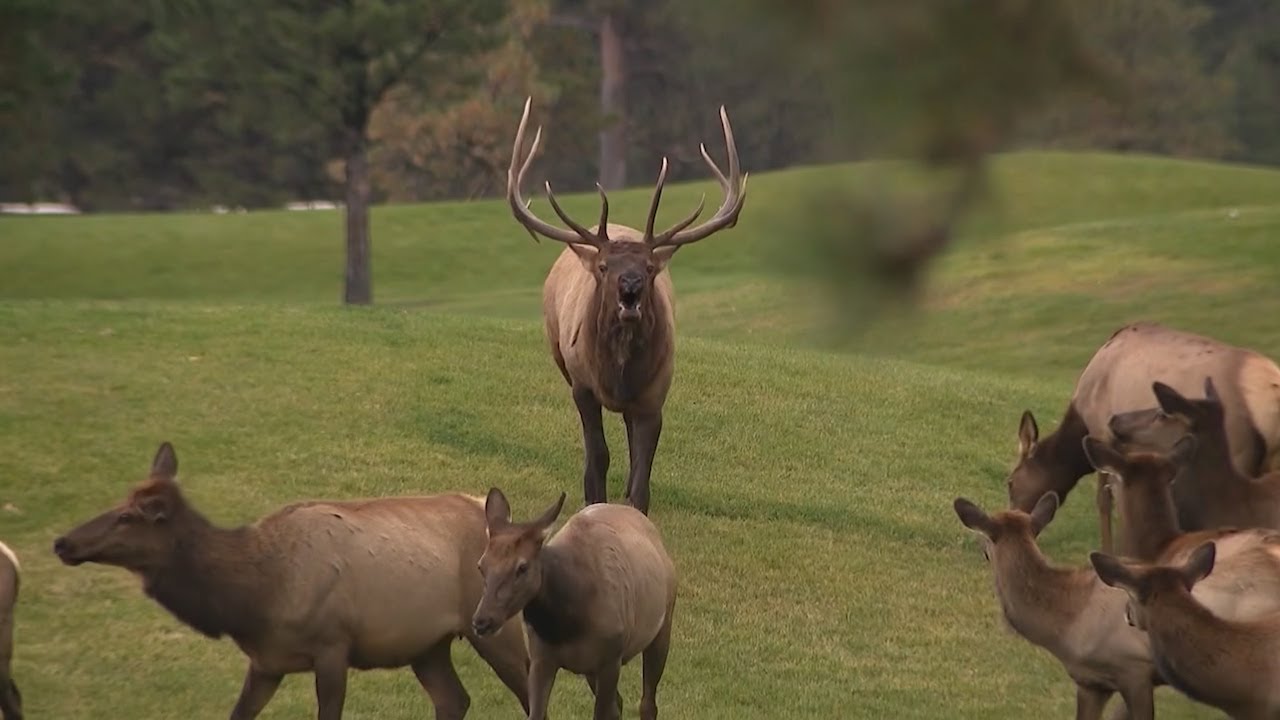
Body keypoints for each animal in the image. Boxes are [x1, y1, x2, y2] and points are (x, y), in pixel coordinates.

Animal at [52, 442, 533, 720]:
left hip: (496, 626)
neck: (253, 600)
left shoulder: (333, 645)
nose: (62, 542)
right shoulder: (266, 661)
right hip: (427, 644)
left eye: (129, 517)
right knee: (454, 699)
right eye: (119, 503)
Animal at [472, 488, 677, 720]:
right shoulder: (541, 659)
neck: (567, 623)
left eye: (522, 567)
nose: (482, 620)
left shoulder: (610, 659)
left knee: (647, 703)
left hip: (662, 626)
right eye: (481, 565)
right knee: (619, 703)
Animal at [506, 96, 748, 515]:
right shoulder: (582, 385)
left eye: (649, 267)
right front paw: (594, 503)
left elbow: (641, 471)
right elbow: (598, 457)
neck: (618, 374)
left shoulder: (656, 392)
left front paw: (633, 513)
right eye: (605, 266)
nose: (631, 283)